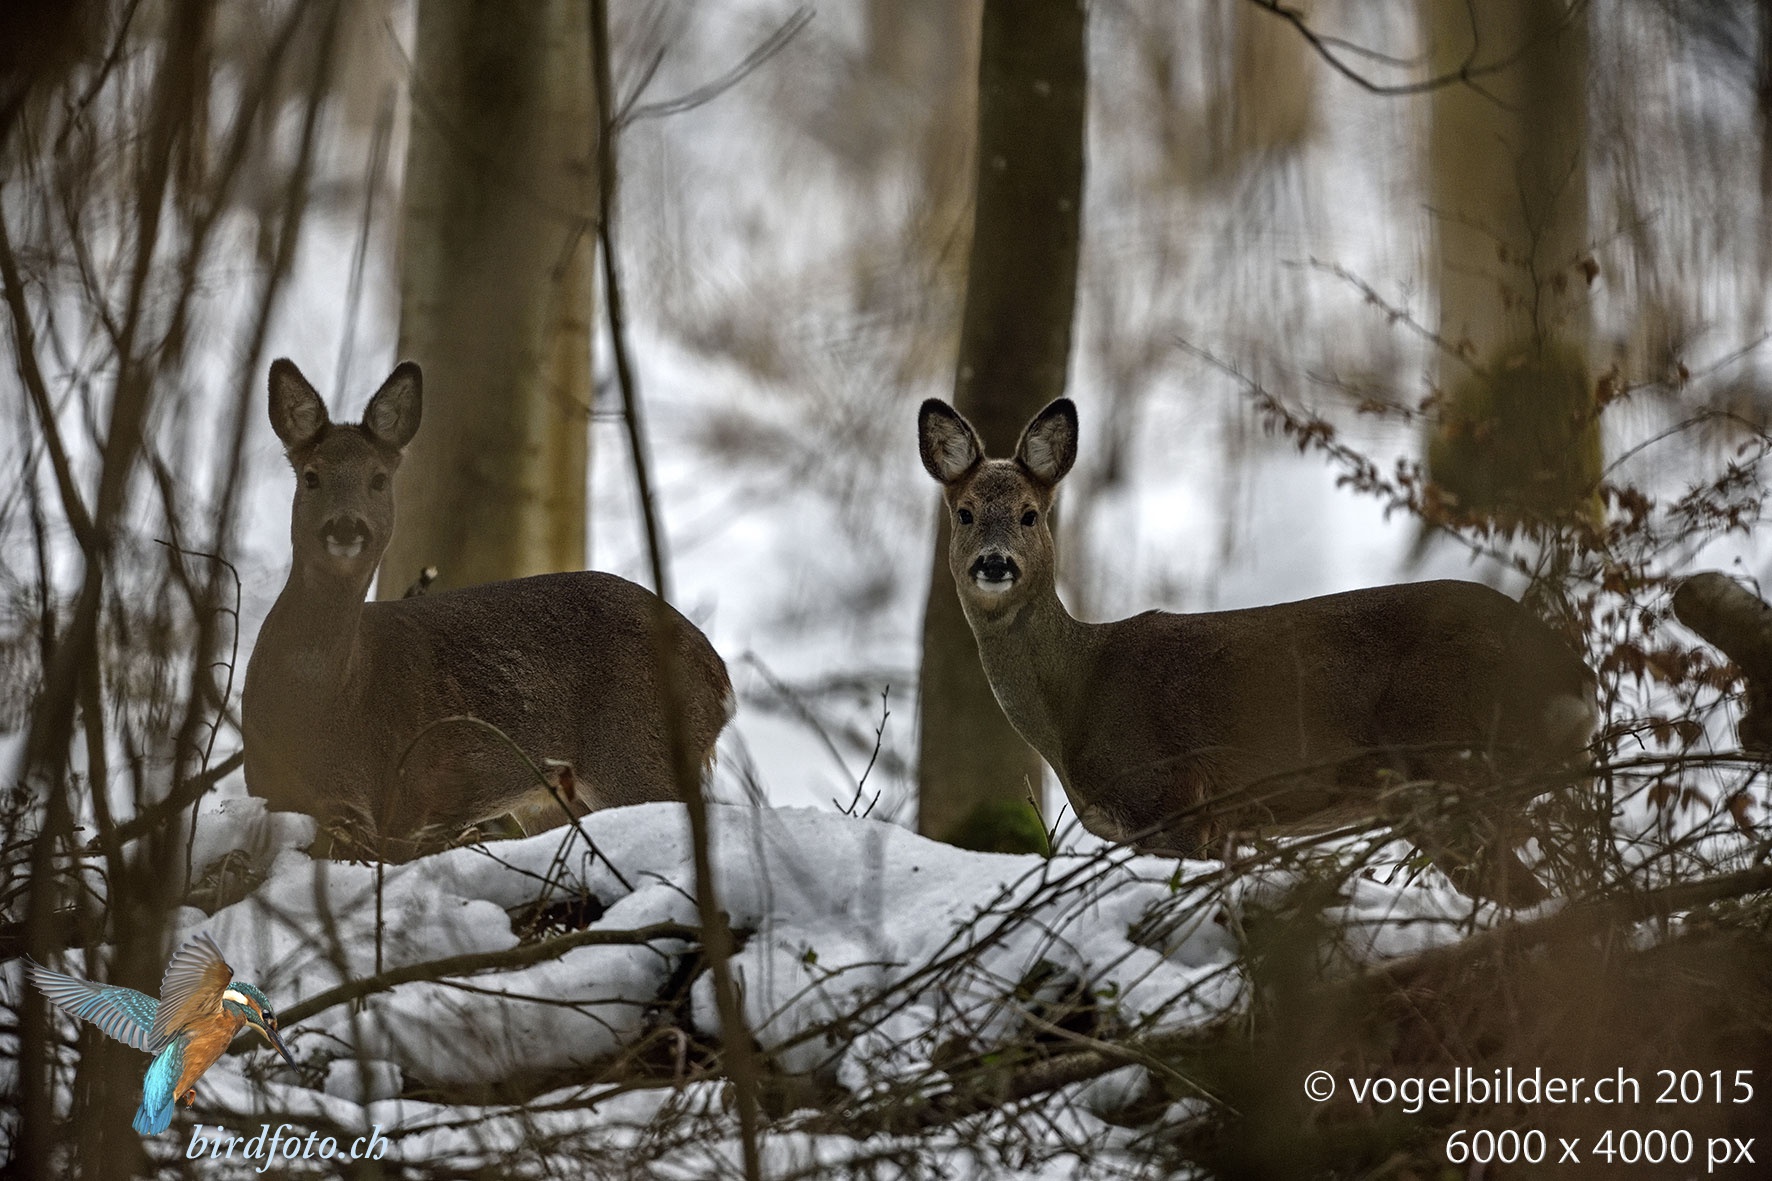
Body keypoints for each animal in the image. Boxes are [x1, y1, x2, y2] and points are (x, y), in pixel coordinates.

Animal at [242, 359, 734, 860]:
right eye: (311, 476)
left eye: (378, 478)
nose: (345, 526)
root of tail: (719, 677)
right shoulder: (269, 791)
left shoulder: (409, 797)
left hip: (639, 753)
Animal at [917, 396, 1596, 903]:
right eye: (965, 513)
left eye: (1030, 514)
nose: (996, 563)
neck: (1077, 698)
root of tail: (1575, 679)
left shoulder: (1176, 797)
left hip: (1454, 754)